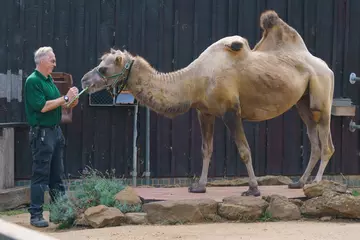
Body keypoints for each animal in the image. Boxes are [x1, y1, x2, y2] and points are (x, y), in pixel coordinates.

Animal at [81, 9, 334, 197]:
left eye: (103, 69)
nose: (84, 79)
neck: (195, 80)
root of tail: (325, 66)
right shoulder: (205, 112)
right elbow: (206, 149)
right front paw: (199, 186)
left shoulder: (231, 111)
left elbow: (244, 150)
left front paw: (253, 189)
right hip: (302, 102)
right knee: (314, 139)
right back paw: (299, 182)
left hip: (322, 95)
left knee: (326, 143)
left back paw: (316, 184)